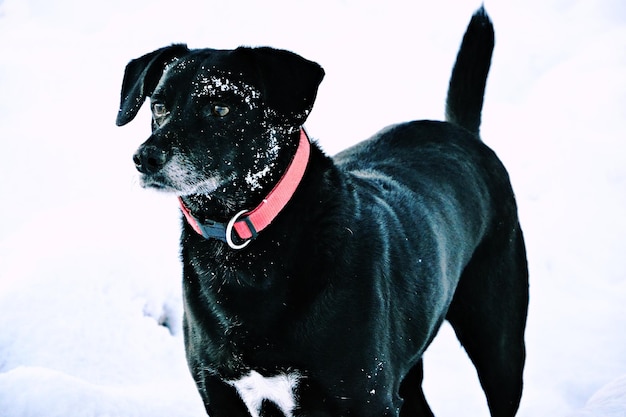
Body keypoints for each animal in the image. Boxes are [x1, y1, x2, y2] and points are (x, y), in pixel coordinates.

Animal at [117, 7, 528, 416]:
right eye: (158, 106)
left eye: (220, 107)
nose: (145, 158)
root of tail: (463, 133)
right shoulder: (219, 393)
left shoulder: (367, 397)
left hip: (500, 348)